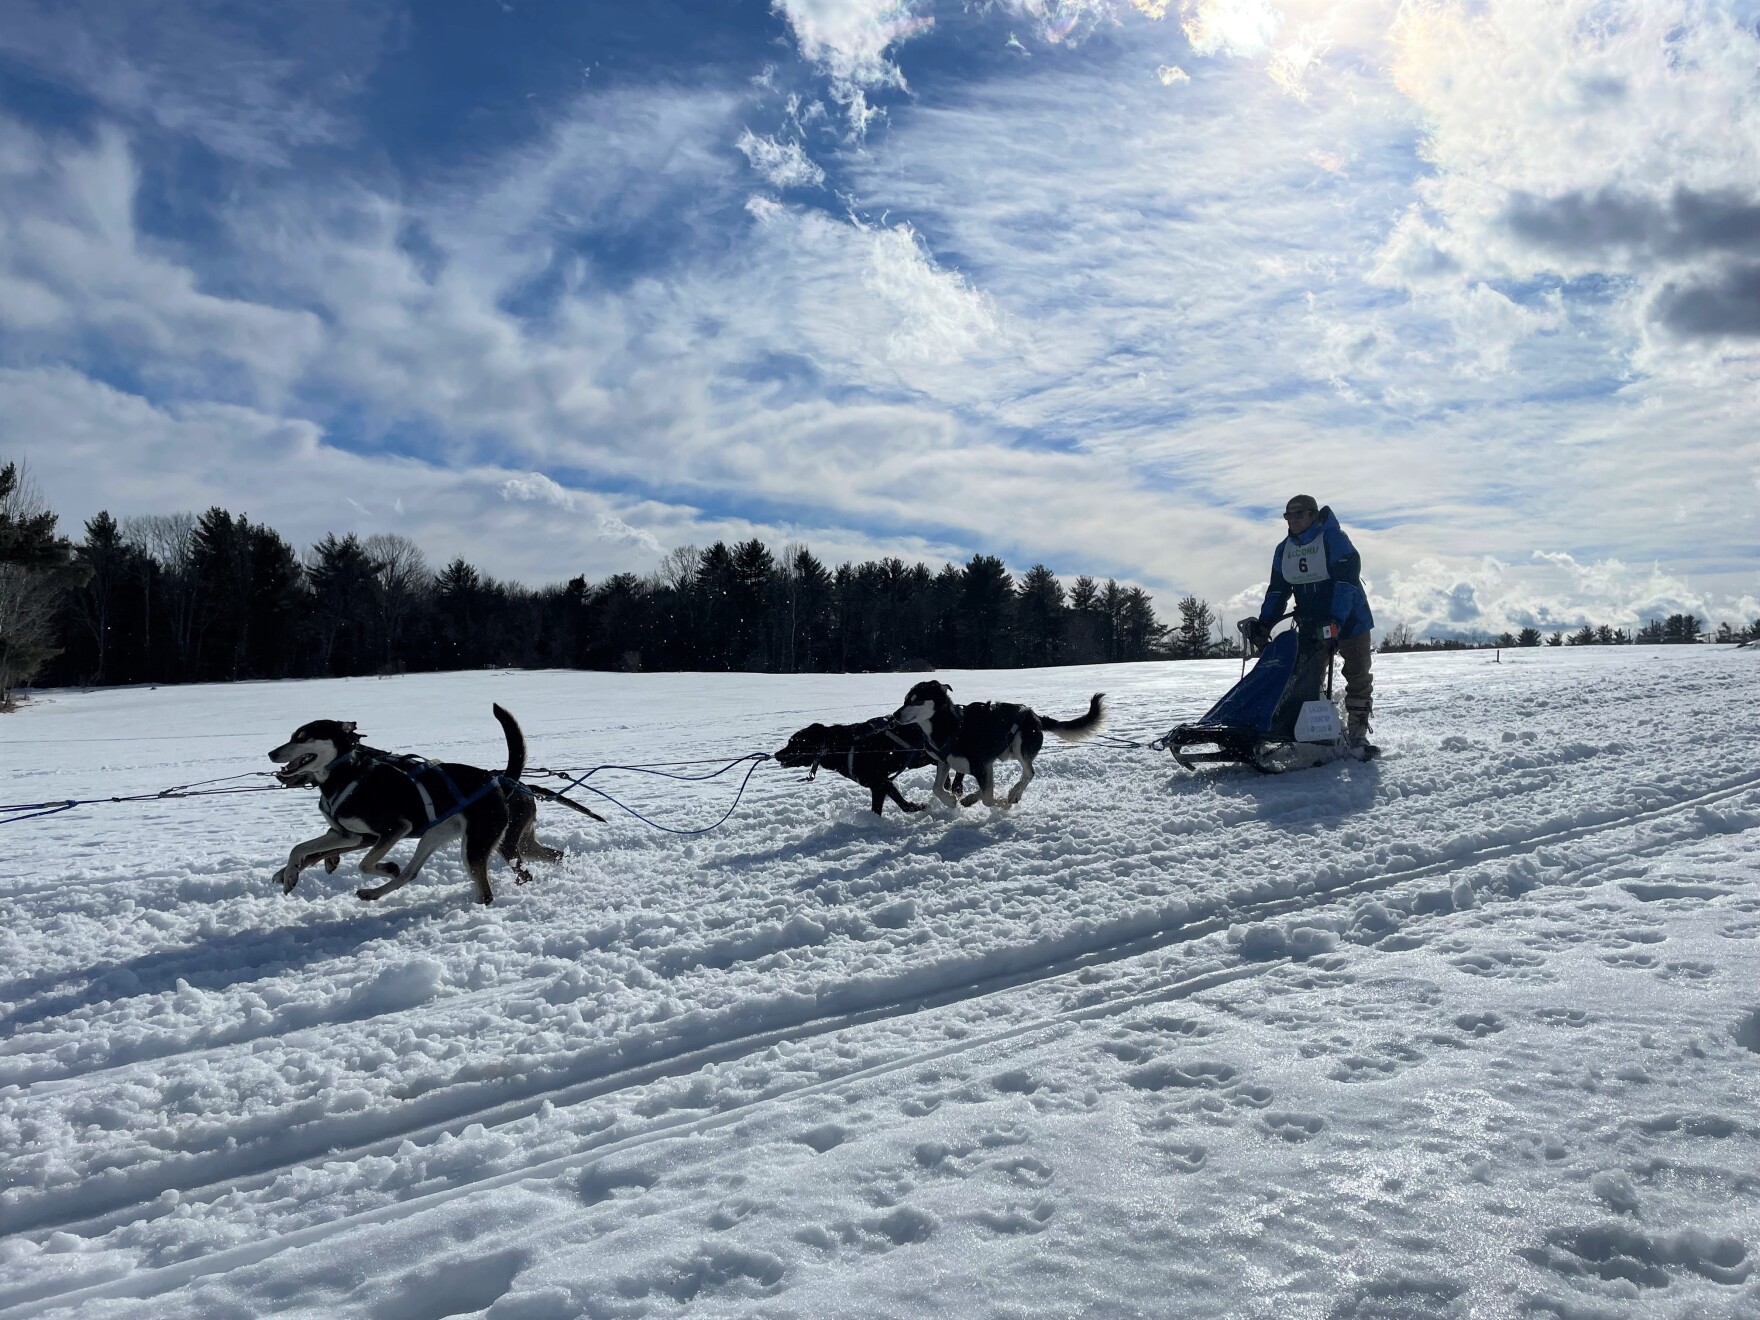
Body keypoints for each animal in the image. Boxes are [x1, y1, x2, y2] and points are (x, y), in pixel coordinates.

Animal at [264, 704, 598, 908]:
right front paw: (289, 875)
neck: (348, 772)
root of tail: (500, 779)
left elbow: (364, 864)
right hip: (445, 836)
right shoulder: (348, 834)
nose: (271, 753)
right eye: (292, 736)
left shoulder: (389, 830)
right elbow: (300, 849)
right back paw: (373, 892)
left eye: (302, 737)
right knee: (412, 873)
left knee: (488, 888)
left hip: (478, 844)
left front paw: (386, 866)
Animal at [770, 714, 964, 816]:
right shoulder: (883, 783)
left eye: (795, 742)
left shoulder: (880, 783)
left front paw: (919, 807)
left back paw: (957, 788)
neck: (840, 746)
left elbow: (898, 805)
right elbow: (896, 804)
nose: (777, 754)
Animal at [894, 686, 1098, 813]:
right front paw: (951, 800)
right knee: (993, 783)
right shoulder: (946, 763)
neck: (951, 726)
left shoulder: (979, 766)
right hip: (998, 756)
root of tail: (1035, 716)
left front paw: (1002, 803)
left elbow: (988, 799)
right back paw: (971, 798)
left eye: (916, 701)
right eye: (904, 700)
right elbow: (937, 788)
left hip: (1019, 745)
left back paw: (1014, 793)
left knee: (1029, 773)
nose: (895, 715)